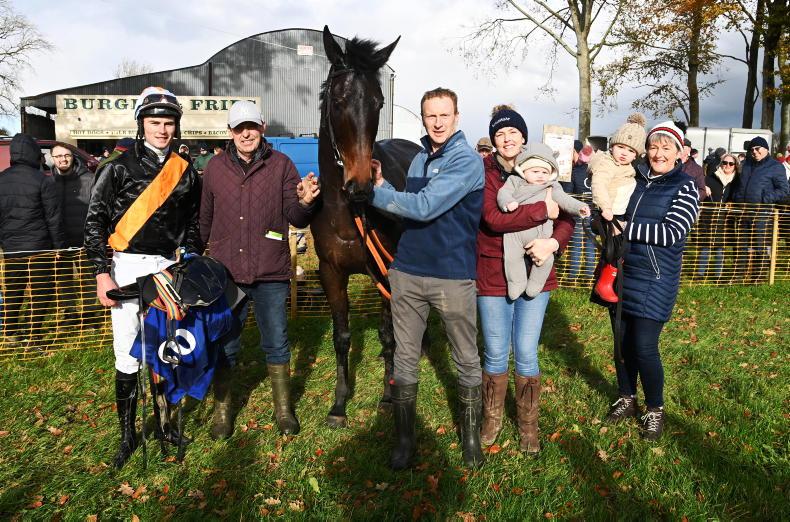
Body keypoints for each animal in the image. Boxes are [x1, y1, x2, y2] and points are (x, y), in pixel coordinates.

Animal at [310, 26, 421, 428]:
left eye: (378, 103)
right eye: (337, 101)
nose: (360, 185)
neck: (349, 213)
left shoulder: (386, 269)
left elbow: (389, 336)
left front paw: (389, 396)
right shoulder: (330, 272)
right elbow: (341, 336)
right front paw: (339, 403)